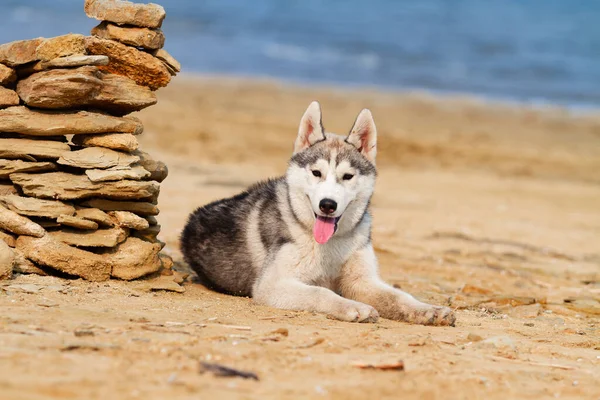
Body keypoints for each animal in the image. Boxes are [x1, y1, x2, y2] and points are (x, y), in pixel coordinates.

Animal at [180, 101, 458, 324]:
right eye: (316, 173)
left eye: (347, 176)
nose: (327, 204)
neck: (331, 243)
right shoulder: (272, 285)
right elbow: (321, 292)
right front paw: (353, 307)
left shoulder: (363, 281)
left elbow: (399, 296)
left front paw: (428, 310)